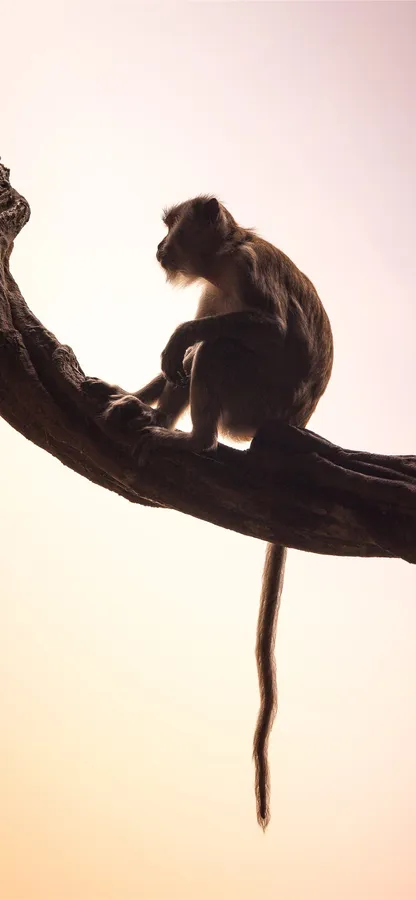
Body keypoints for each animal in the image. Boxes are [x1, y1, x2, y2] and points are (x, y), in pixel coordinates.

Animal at [109, 195, 333, 828]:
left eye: (171, 225)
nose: (159, 246)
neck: (223, 259)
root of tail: (293, 424)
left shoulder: (246, 268)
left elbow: (264, 327)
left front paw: (178, 340)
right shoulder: (213, 287)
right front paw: (136, 397)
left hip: (252, 407)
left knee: (216, 351)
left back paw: (192, 440)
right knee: (198, 361)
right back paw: (155, 418)